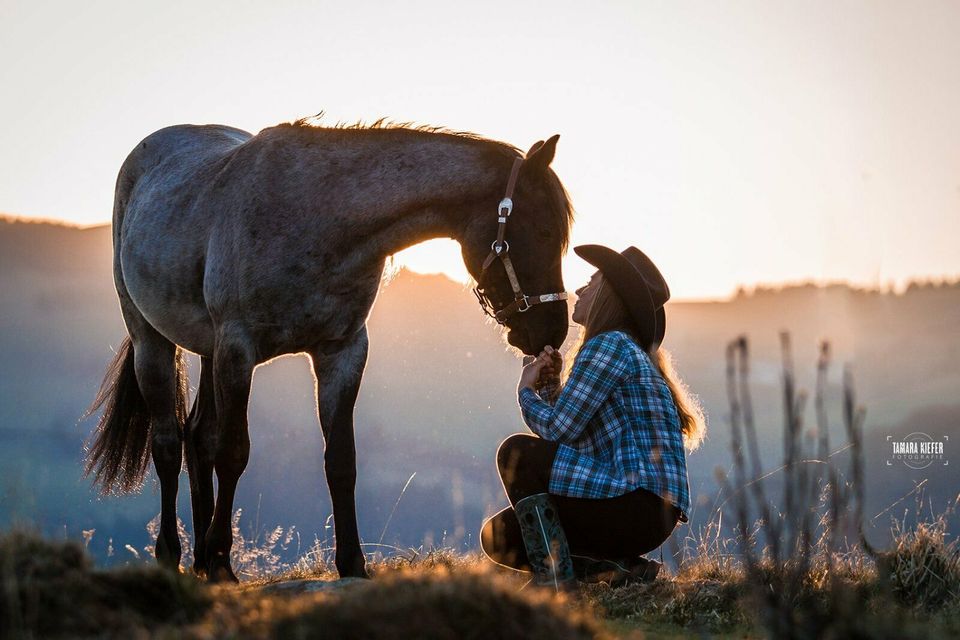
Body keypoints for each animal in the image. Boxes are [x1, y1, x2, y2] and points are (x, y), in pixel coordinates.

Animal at [84, 117, 568, 584]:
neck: (316, 218)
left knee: (198, 436)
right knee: (168, 443)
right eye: (542, 231)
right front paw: (223, 563)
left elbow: (341, 460)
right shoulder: (237, 351)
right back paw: (174, 555)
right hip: (152, 340)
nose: (553, 330)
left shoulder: (342, 353)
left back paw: (200, 558)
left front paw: (351, 562)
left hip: (208, 351)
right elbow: (233, 453)